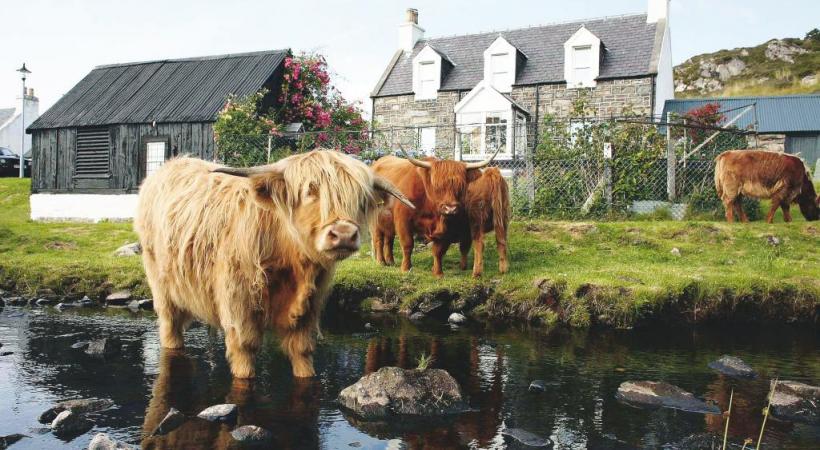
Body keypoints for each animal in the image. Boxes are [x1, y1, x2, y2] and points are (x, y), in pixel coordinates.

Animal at [139, 149, 416, 378]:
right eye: (309, 192)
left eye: (360, 200)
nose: (344, 234)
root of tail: (170, 166)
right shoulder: (239, 306)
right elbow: (245, 355)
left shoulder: (308, 309)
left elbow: (303, 353)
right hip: (162, 290)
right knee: (170, 327)